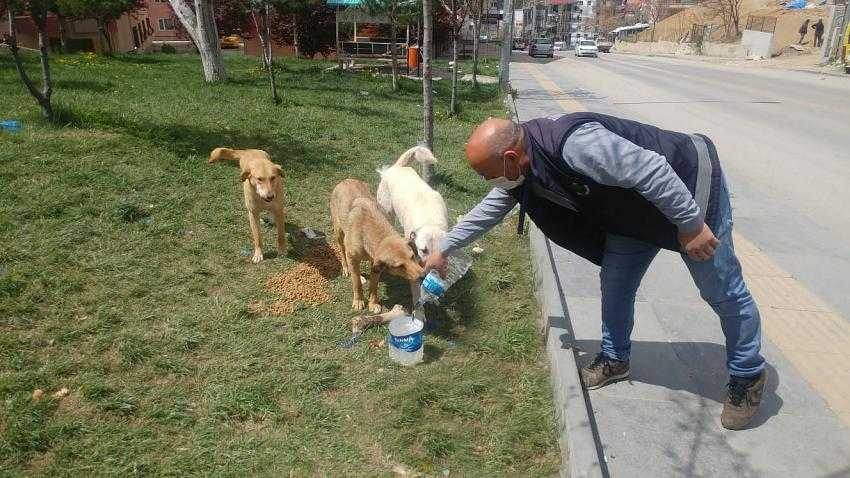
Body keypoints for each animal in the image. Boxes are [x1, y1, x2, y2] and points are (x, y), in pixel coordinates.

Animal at [332, 179, 424, 314]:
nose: (423, 276)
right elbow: (356, 283)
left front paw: (373, 303)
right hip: (339, 233)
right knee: (344, 254)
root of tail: (346, 180)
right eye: (400, 266)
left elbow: (374, 285)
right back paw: (347, 269)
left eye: (412, 257)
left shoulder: (375, 264)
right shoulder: (353, 257)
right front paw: (358, 301)